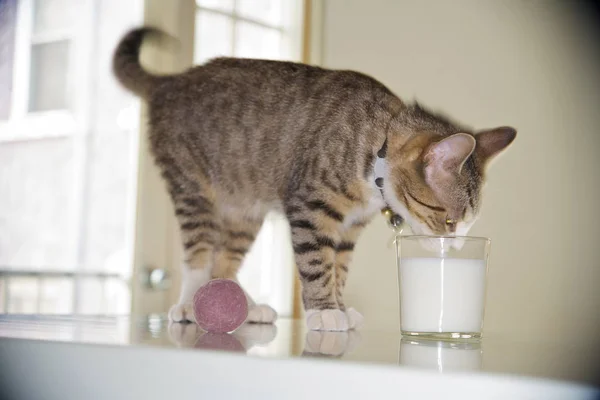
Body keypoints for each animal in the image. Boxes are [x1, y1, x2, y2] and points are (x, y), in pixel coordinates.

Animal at [112, 28, 516, 332]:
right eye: (448, 221)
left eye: (467, 223)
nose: (458, 247)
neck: (377, 144)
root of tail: (171, 82)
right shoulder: (311, 206)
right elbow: (318, 261)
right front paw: (324, 311)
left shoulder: (350, 226)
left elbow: (339, 266)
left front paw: (339, 306)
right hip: (193, 186)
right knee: (200, 251)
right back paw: (190, 303)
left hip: (244, 209)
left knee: (225, 259)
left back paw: (243, 305)